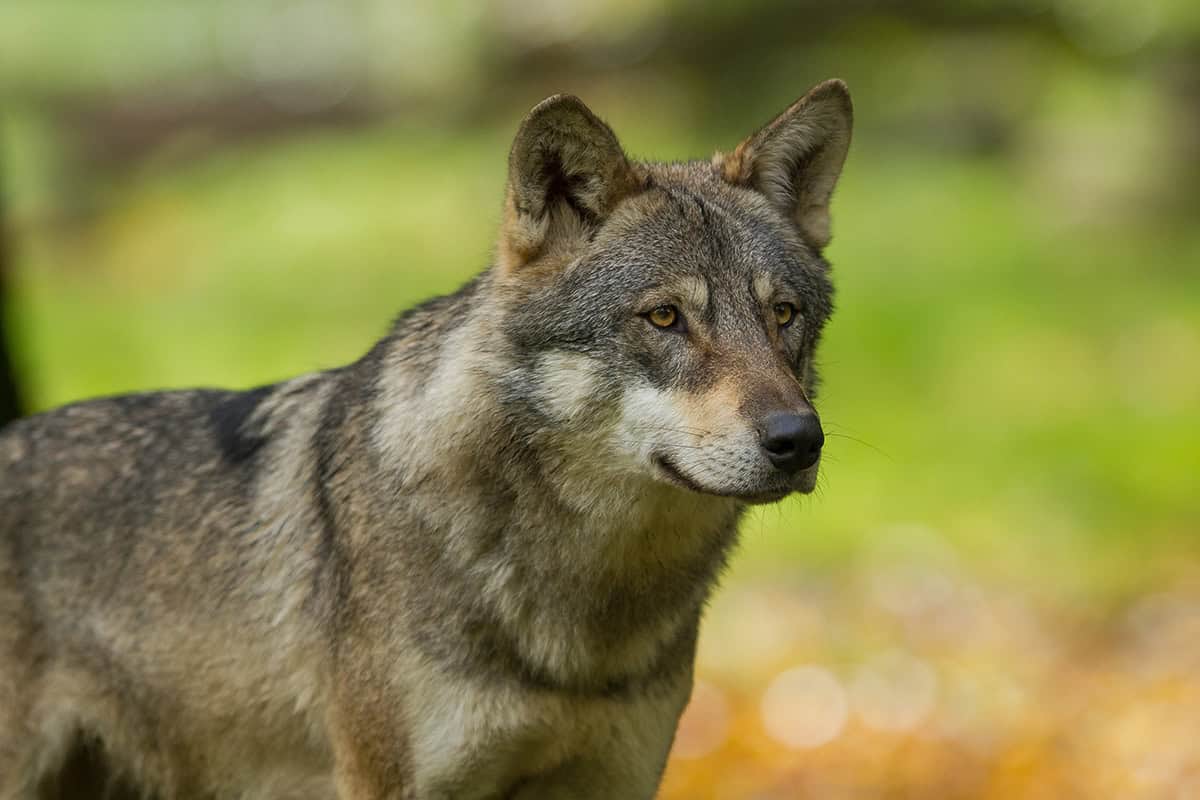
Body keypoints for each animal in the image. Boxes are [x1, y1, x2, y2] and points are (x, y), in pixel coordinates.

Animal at [0, 79, 852, 799]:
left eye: (783, 315)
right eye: (665, 317)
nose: (798, 440)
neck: (580, 612)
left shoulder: (616, 779)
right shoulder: (391, 784)